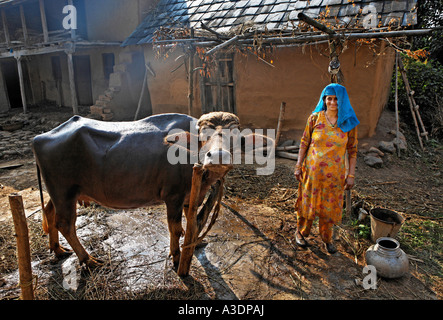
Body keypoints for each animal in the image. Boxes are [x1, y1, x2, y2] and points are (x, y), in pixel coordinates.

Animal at [33, 112, 272, 272]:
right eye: (202, 138)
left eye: (239, 139)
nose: (218, 156)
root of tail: (40, 137)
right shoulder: (173, 196)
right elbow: (175, 228)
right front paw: (176, 257)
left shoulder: (190, 196)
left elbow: (192, 220)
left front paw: (195, 241)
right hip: (64, 192)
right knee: (65, 224)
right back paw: (88, 260)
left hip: (60, 193)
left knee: (49, 212)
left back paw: (57, 249)